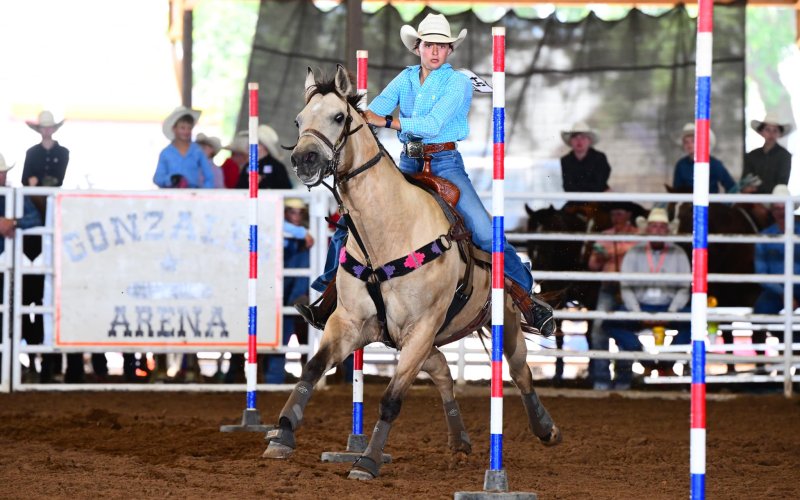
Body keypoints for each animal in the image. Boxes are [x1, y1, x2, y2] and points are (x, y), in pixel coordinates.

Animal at [261, 65, 561, 480]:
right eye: (299, 120)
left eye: (338, 117)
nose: (304, 159)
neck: (389, 231)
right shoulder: (350, 323)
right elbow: (312, 368)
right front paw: (283, 434)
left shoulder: (421, 328)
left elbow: (391, 400)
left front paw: (367, 461)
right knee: (444, 372)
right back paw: (459, 440)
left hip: (504, 324)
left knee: (521, 373)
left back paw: (545, 427)